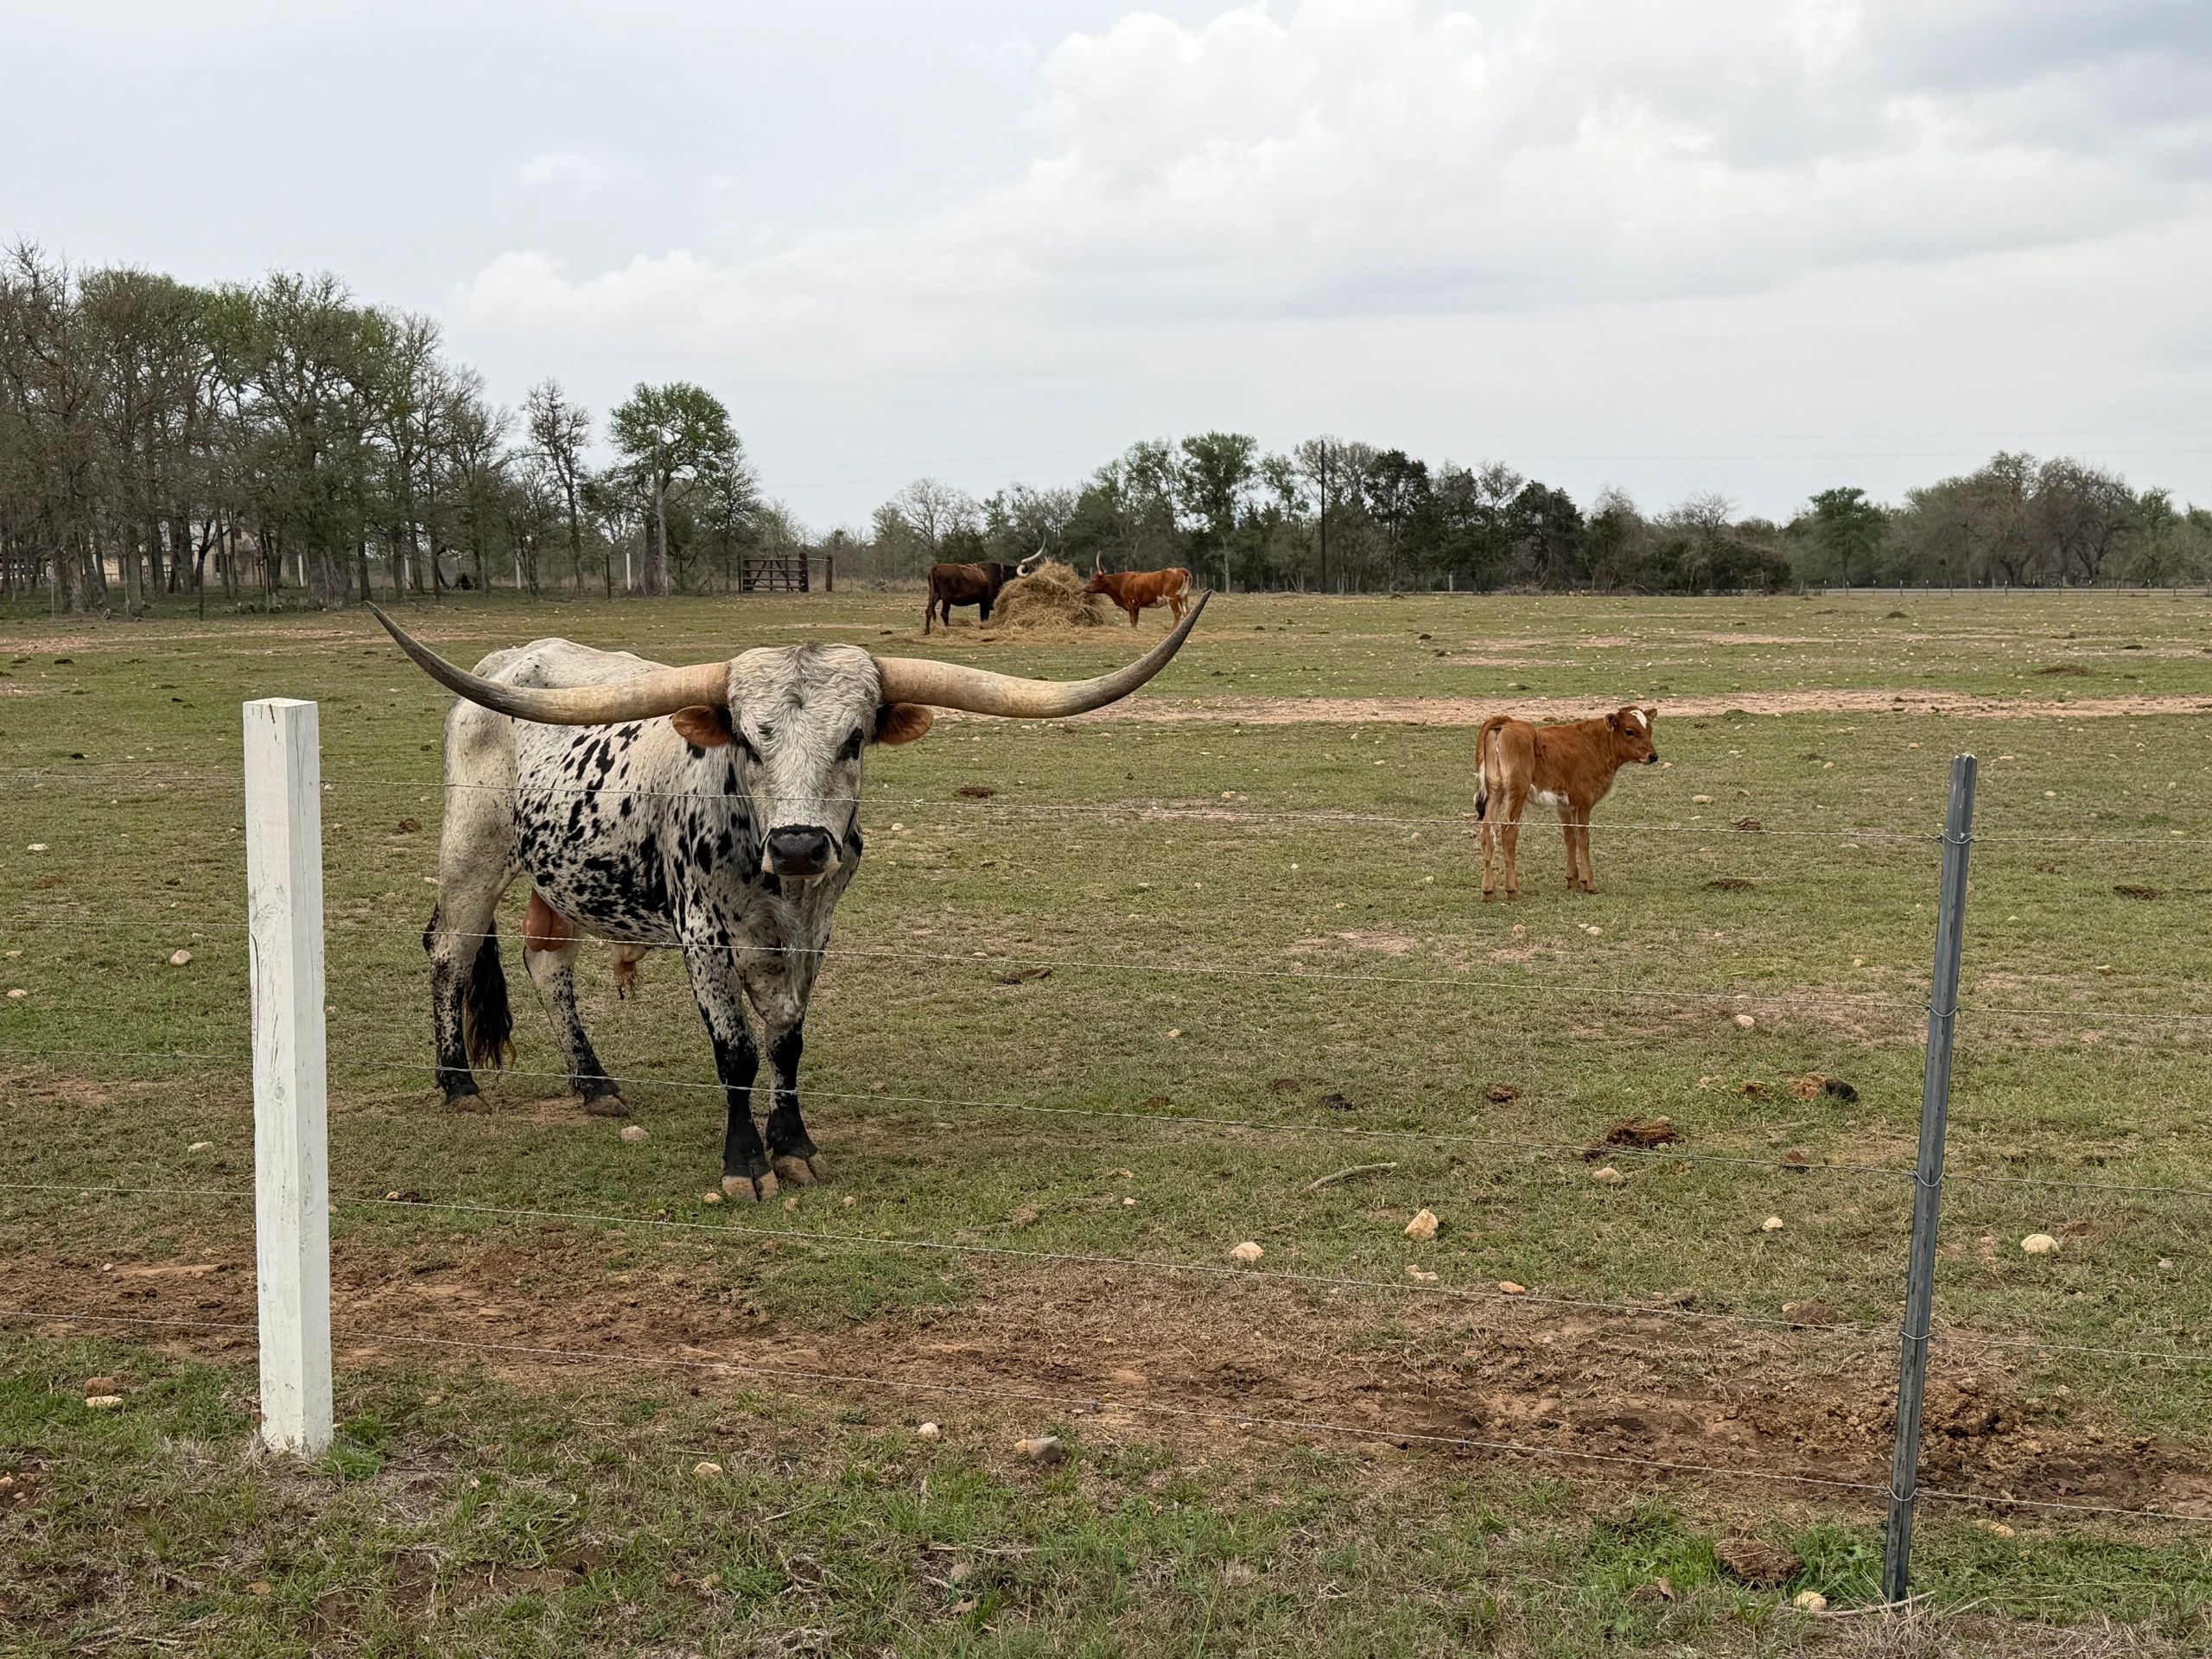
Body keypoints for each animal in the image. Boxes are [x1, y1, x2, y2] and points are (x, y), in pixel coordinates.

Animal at [371, 594, 1207, 1201]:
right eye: (748, 737)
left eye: (856, 738)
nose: (801, 844)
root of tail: (506, 661)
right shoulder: (702, 933)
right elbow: (736, 1049)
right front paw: (746, 1164)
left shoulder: (815, 928)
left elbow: (787, 1039)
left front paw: (795, 1145)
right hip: (474, 849)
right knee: (449, 949)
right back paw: (458, 1085)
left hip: (564, 872)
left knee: (547, 962)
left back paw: (595, 1085)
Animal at [923, 548, 1044, 634]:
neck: (1000, 574)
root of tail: (936, 567)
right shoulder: (986, 602)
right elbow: (984, 617)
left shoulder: (982, 602)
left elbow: (982, 618)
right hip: (946, 598)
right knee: (944, 613)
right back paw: (948, 629)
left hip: (934, 596)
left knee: (929, 611)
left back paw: (927, 631)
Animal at [1473, 706, 1660, 901]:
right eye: (1630, 731)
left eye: (1649, 730)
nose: (1653, 756)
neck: (1596, 744)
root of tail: (1506, 722)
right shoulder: (1584, 802)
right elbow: (1583, 839)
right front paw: (1589, 882)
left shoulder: (1564, 804)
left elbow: (1570, 837)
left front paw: (1573, 879)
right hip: (1517, 793)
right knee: (1508, 832)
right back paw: (1512, 889)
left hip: (1495, 792)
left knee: (1487, 833)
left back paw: (1488, 890)